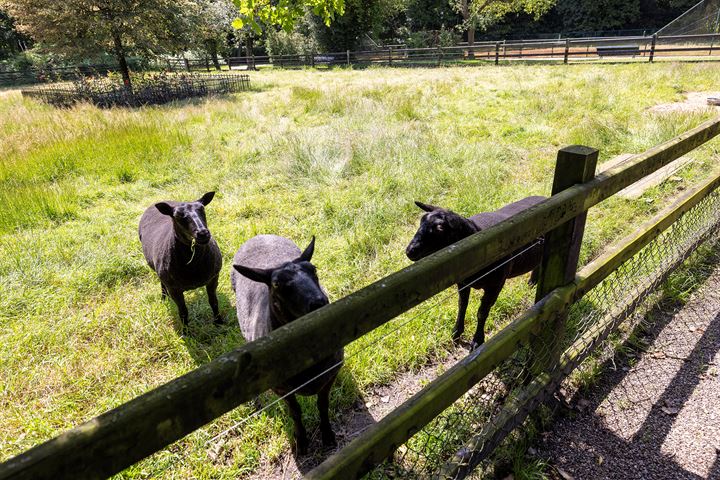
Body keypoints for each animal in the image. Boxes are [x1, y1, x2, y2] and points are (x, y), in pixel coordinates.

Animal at [139, 191, 222, 326]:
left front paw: (219, 322)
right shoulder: (174, 289)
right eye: (177, 216)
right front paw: (186, 329)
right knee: (162, 283)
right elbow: (183, 311)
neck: (194, 267)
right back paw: (164, 298)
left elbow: (214, 302)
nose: (203, 233)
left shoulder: (213, 278)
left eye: (202, 209)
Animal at [232, 234, 342, 456]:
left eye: (314, 269)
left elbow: (323, 404)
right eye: (276, 284)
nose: (319, 302)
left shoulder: (330, 374)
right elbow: (295, 413)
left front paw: (327, 435)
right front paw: (301, 442)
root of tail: (260, 235)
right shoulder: (281, 389)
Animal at [404, 197, 544, 350]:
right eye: (421, 221)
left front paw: (477, 341)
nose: (410, 250)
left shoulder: (495, 285)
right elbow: (462, 305)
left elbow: (482, 312)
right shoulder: (463, 283)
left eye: (440, 228)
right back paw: (532, 283)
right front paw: (456, 333)